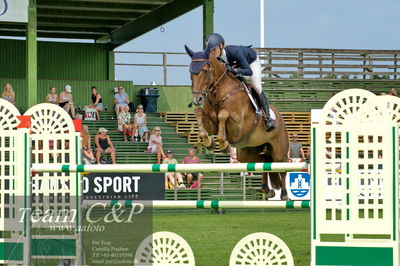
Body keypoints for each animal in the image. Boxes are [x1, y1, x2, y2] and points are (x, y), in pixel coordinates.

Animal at [186, 46, 290, 200]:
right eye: (190, 72)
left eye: (205, 70)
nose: (197, 99)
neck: (219, 93)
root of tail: (280, 117)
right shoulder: (212, 125)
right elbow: (199, 113)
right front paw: (209, 143)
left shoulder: (238, 128)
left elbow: (223, 114)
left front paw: (223, 144)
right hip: (248, 151)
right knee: (264, 160)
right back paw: (266, 189)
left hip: (279, 150)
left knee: (281, 166)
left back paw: (283, 194)